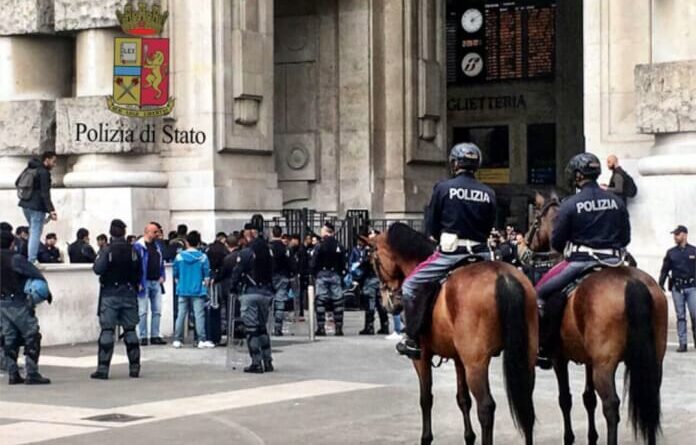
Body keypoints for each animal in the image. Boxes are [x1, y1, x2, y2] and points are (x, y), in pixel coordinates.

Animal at [370, 224, 540, 442]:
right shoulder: (459, 359)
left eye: (374, 262)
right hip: (524, 356)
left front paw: (426, 437)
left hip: (476, 363)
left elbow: (426, 398)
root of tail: (504, 276)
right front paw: (469, 437)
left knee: (486, 407)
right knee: (526, 403)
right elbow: (463, 399)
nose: (388, 303)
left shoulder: (421, 358)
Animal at [528, 196, 668, 442]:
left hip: (605, 365)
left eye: (536, 219)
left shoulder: (559, 357)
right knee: (651, 399)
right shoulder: (588, 360)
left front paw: (569, 437)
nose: (523, 245)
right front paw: (591, 436)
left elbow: (565, 399)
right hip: (653, 359)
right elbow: (588, 398)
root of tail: (633, 283)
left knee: (611, 406)